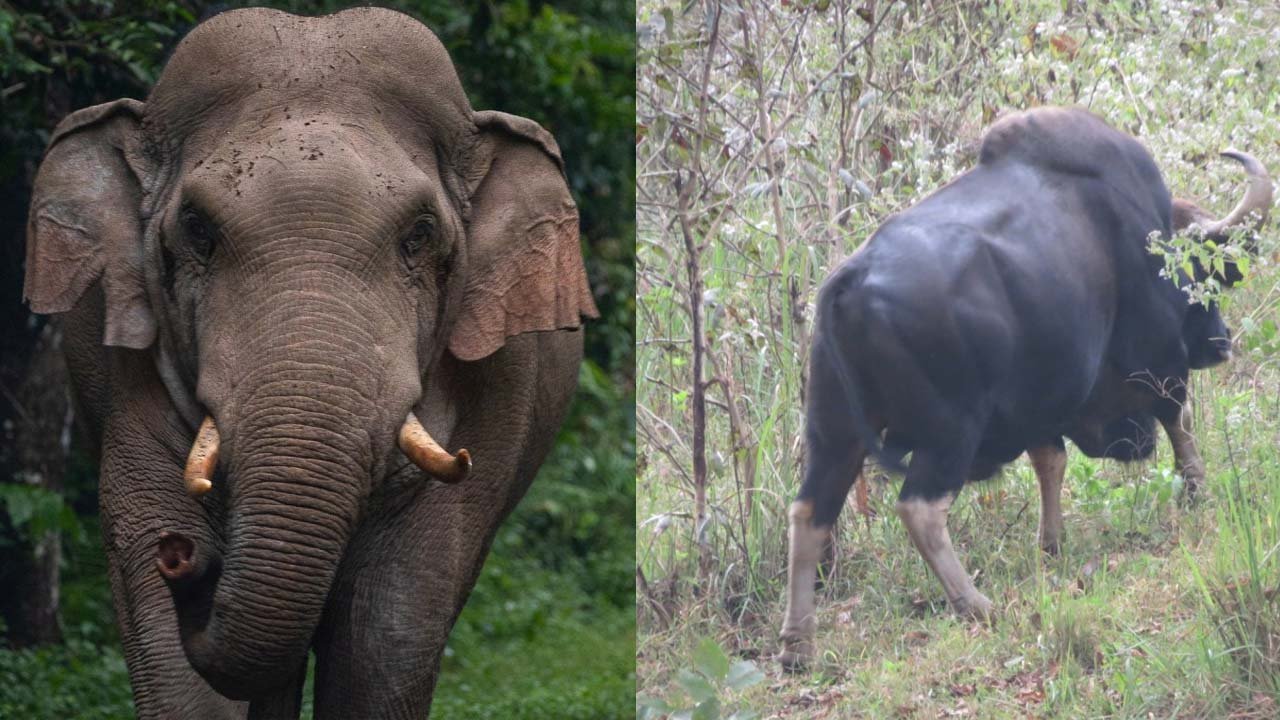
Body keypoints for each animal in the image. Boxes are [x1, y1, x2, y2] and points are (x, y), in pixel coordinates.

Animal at [21, 7, 599, 717]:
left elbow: (391, 625)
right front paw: (171, 544)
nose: (183, 558)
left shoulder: (495, 390)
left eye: (419, 236)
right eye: (197, 230)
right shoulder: (130, 377)